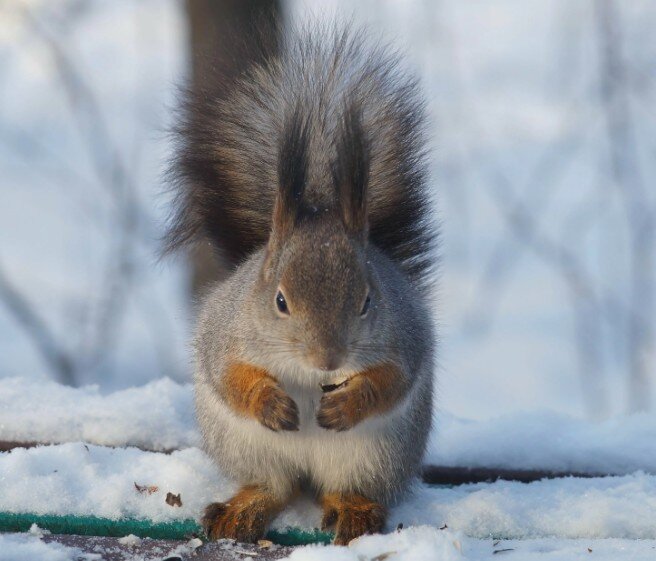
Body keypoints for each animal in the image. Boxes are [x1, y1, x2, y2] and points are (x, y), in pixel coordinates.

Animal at [167, 24, 438, 544]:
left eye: (367, 300)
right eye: (279, 300)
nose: (328, 359)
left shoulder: (405, 337)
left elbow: (392, 380)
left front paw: (350, 401)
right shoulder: (225, 333)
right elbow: (229, 377)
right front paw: (268, 401)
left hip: (372, 455)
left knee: (340, 487)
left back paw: (353, 510)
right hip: (248, 447)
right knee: (276, 486)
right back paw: (244, 508)